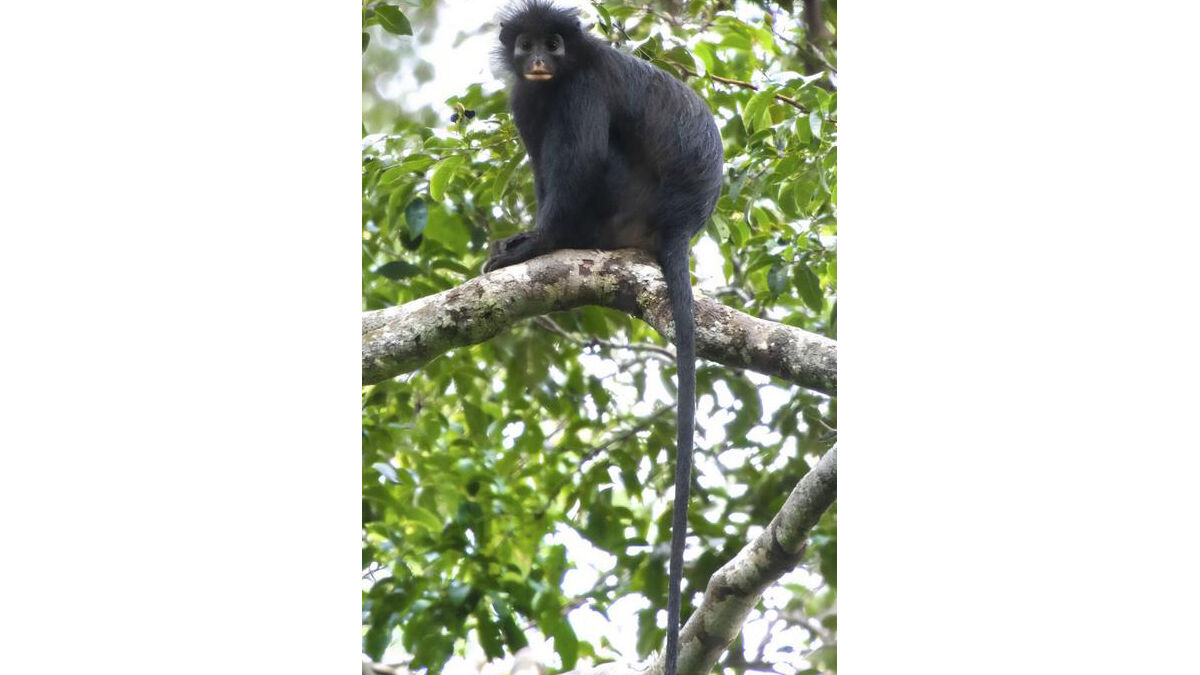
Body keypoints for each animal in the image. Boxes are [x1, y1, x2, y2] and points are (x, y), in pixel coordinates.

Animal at [483, 3, 724, 673]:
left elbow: (580, 159)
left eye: (555, 43)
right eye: (529, 45)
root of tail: (679, 224)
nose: (540, 59)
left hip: (623, 201)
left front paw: (535, 244)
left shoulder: (582, 87)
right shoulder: (525, 97)